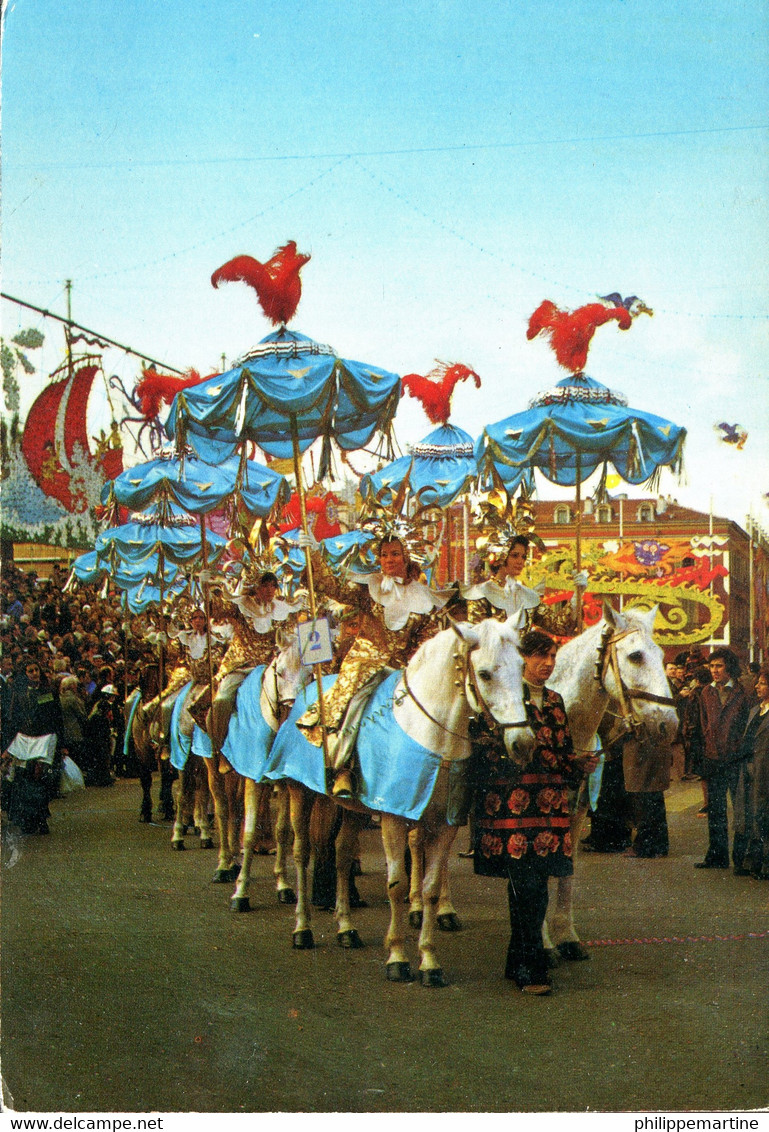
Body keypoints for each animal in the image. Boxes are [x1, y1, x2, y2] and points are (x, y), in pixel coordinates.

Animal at [265, 615, 534, 987]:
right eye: (484, 674)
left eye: (522, 666)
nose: (524, 743)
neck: (432, 734)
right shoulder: (393, 817)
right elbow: (396, 885)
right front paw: (396, 957)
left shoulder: (444, 825)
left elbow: (431, 887)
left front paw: (429, 961)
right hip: (298, 792)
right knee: (301, 853)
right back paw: (302, 929)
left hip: (353, 810)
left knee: (342, 856)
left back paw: (346, 929)